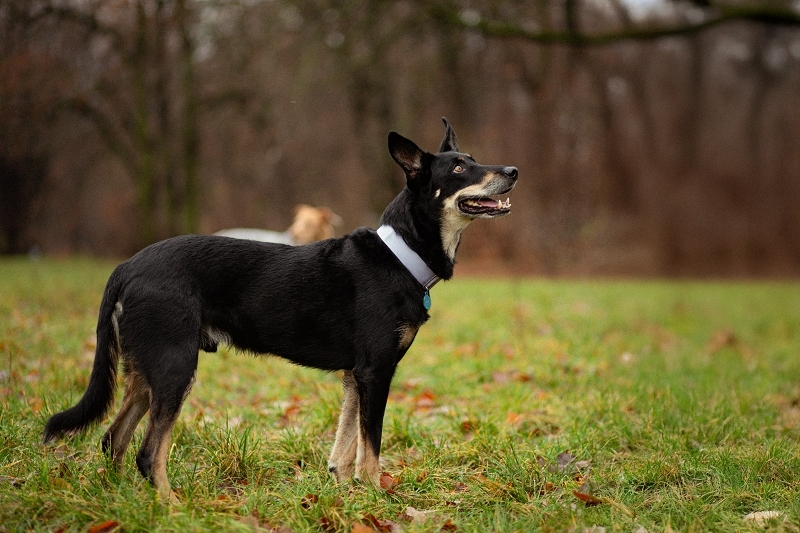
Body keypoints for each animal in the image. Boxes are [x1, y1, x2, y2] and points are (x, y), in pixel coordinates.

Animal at [43, 118, 517, 499]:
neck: (402, 255)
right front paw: (379, 498)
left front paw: (346, 496)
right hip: (174, 366)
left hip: (147, 370)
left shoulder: (354, 377)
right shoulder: (376, 372)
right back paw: (173, 506)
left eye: (472, 159)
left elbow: (344, 448)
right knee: (147, 453)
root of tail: (127, 266)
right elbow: (370, 449)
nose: (513, 171)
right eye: (458, 168)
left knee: (113, 440)